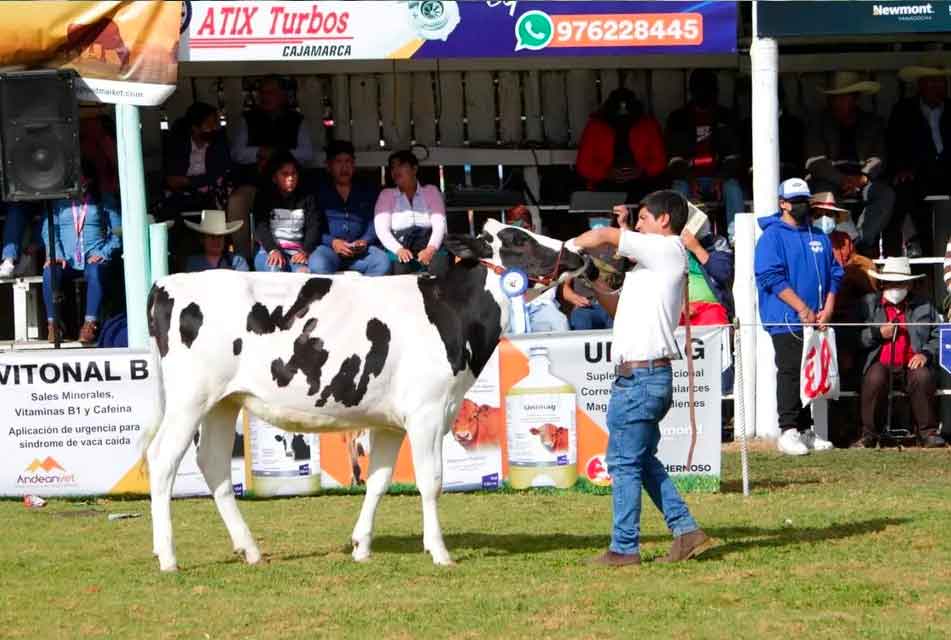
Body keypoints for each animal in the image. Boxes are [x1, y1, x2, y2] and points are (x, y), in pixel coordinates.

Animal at [141, 220, 588, 568]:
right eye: (517, 240)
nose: (577, 253)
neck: (447, 311)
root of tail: (166, 282)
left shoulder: (390, 423)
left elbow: (378, 482)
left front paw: (361, 546)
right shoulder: (427, 412)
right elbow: (431, 481)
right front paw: (439, 551)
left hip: (223, 402)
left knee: (213, 463)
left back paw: (249, 549)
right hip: (189, 400)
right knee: (163, 460)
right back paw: (168, 556)